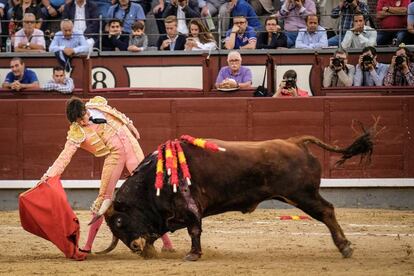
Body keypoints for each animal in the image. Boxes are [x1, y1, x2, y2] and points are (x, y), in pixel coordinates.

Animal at [94, 122, 378, 260]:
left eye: (119, 221)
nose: (134, 246)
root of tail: (295, 141)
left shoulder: (190, 208)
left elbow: (194, 230)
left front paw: (193, 255)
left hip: (303, 195)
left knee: (327, 211)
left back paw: (345, 247)